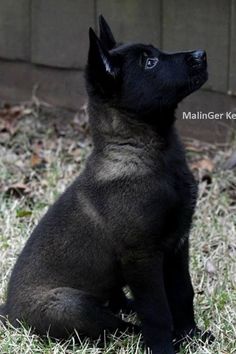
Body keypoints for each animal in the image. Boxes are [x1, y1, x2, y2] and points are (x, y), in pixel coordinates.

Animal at [0, 15, 210, 354]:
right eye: (150, 63)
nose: (201, 54)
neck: (142, 151)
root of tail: (8, 312)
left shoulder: (178, 243)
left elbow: (182, 294)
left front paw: (191, 335)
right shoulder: (141, 257)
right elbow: (157, 310)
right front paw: (165, 345)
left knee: (116, 306)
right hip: (70, 305)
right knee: (113, 324)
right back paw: (133, 328)